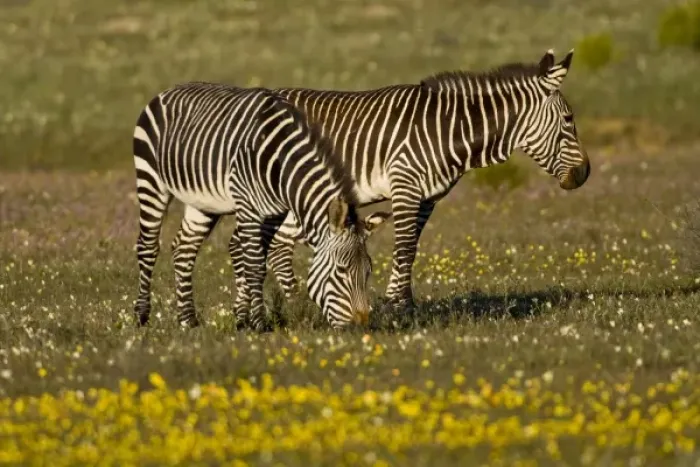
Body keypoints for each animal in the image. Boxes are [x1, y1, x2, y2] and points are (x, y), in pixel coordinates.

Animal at [132, 82, 392, 331]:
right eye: (341, 270)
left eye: (368, 272)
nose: (358, 327)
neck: (281, 163)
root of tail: (168, 91)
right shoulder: (248, 208)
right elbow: (254, 265)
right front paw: (258, 323)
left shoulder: (275, 213)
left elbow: (261, 262)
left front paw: (244, 319)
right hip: (151, 180)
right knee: (147, 246)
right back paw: (141, 316)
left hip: (202, 203)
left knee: (183, 249)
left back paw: (188, 320)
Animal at [252, 49, 591, 311]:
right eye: (569, 119)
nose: (584, 174)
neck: (448, 129)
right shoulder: (405, 186)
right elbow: (403, 247)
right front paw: (397, 306)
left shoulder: (428, 197)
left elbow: (412, 247)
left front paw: (406, 302)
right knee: (279, 244)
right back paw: (298, 304)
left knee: (278, 244)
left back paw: (295, 304)